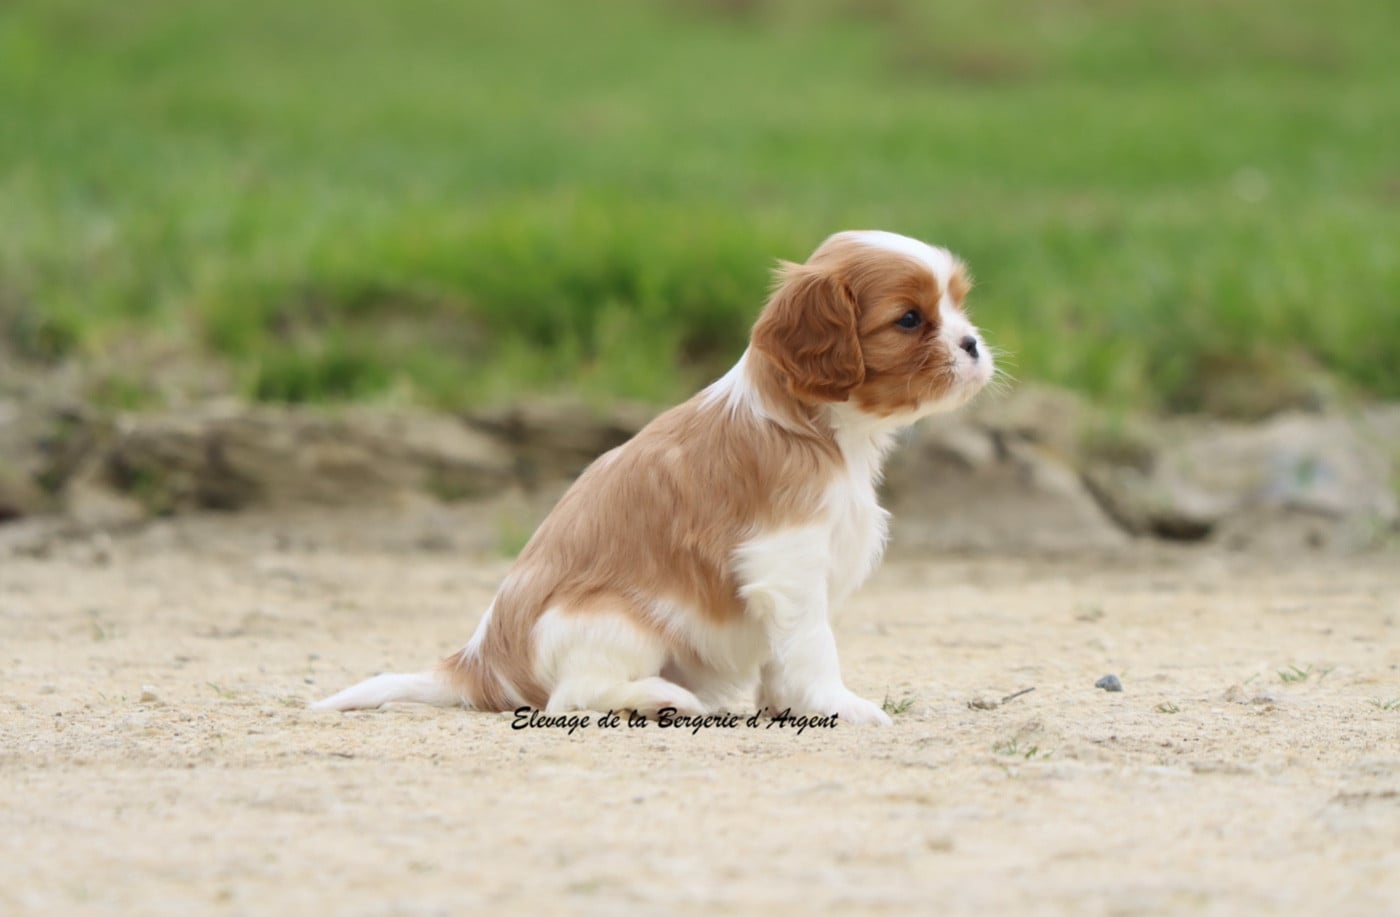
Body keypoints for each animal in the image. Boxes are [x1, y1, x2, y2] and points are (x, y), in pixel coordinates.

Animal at [314, 230, 994, 725]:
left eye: (959, 304)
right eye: (909, 320)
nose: (973, 344)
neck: (822, 430)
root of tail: (477, 663)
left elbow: (782, 656)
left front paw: (788, 708)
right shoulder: (787, 564)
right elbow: (811, 642)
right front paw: (837, 706)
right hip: (619, 620)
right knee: (571, 698)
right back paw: (665, 698)